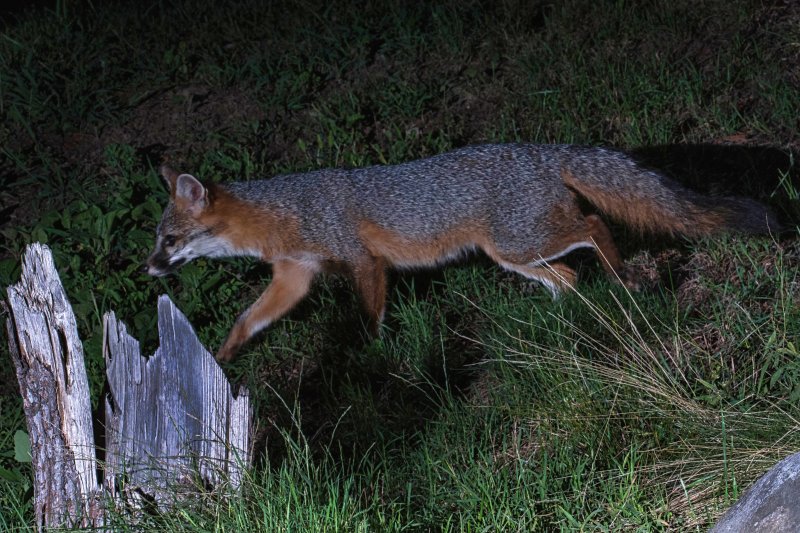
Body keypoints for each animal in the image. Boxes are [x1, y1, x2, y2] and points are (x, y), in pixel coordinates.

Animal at [146, 143, 779, 362]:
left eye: (169, 241)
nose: (149, 268)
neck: (285, 211)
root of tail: (540, 149)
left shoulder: (362, 263)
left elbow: (371, 318)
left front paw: (373, 359)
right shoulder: (294, 277)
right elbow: (247, 319)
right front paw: (224, 354)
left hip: (520, 242)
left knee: (596, 224)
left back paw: (622, 275)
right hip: (515, 255)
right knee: (569, 277)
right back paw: (557, 318)